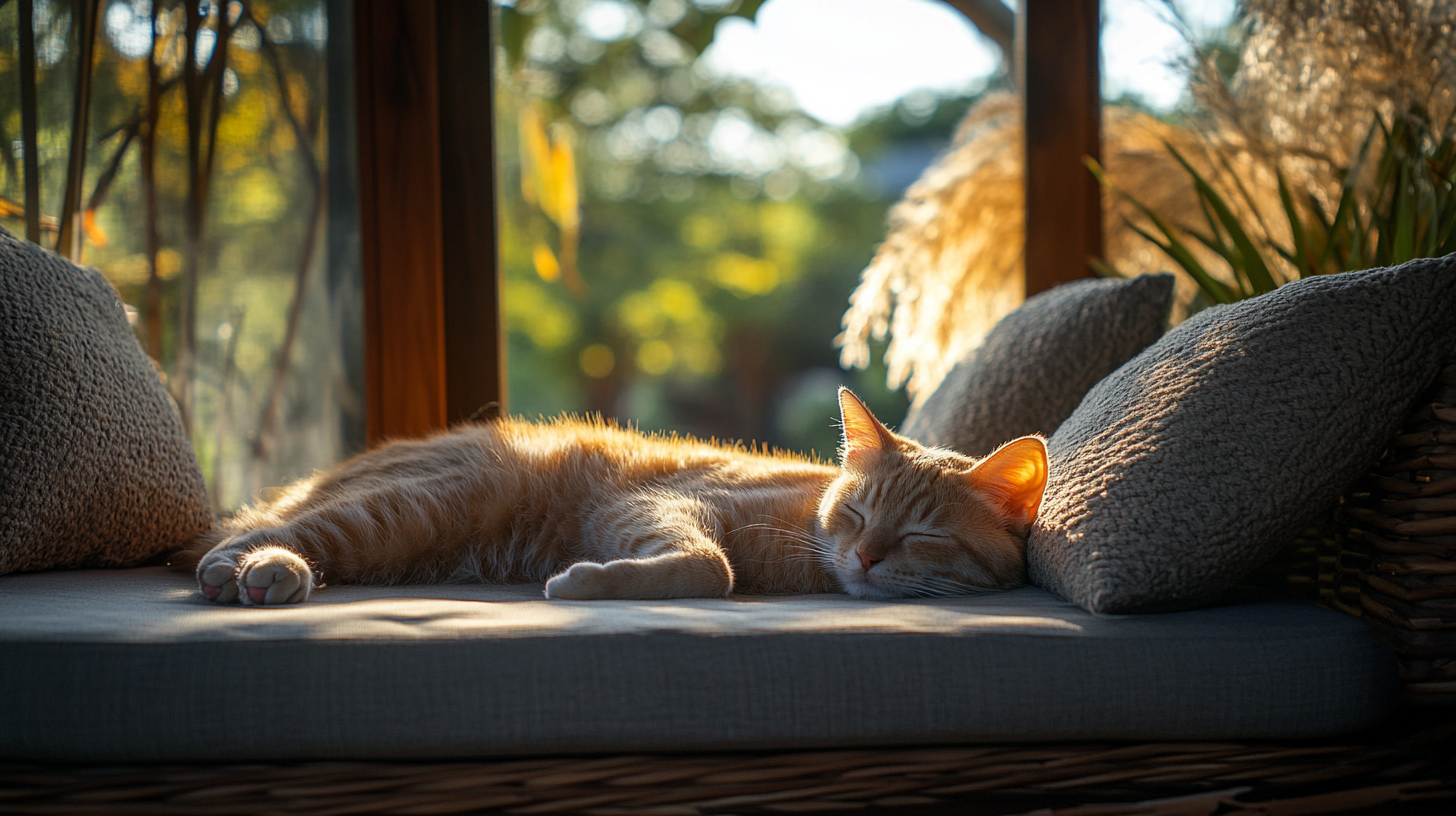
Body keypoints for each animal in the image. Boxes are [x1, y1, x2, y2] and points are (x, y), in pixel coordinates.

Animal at [182, 384, 1048, 603]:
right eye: (858, 513)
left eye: (922, 536)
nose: (864, 558)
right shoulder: (654, 508)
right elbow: (709, 566)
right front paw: (587, 582)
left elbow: (708, 569)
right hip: (407, 505)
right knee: (261, 537)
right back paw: (254, 569)